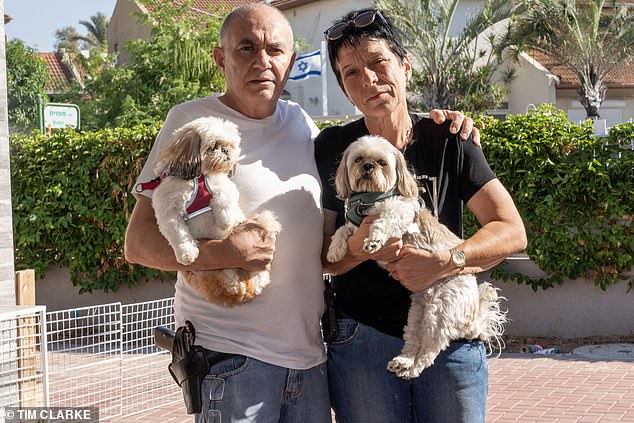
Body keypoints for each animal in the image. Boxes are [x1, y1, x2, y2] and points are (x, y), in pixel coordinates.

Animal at [149, 117, 278, 308]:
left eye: (230, 145)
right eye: (213, 147)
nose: (225, 151)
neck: (197, 177)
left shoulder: (223, 185)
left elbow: (223, 197)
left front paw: (226, 220)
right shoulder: (168, 209)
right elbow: (179, 234)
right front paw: (187, 253)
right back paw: (231, 283)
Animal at [326, 137, 504, 380]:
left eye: (381, 162)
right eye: (358, 159)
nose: (368, 166)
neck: (369, 198)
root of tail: (474, 313)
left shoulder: (398, 212)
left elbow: (383, 222)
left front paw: (374, 241)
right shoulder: (354, 227)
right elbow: (342, 230)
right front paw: (335, 250)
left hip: (439, 311)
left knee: (430, 350)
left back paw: (413, 369)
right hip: (417, 312)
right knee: (413, 340)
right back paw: (403, 362)